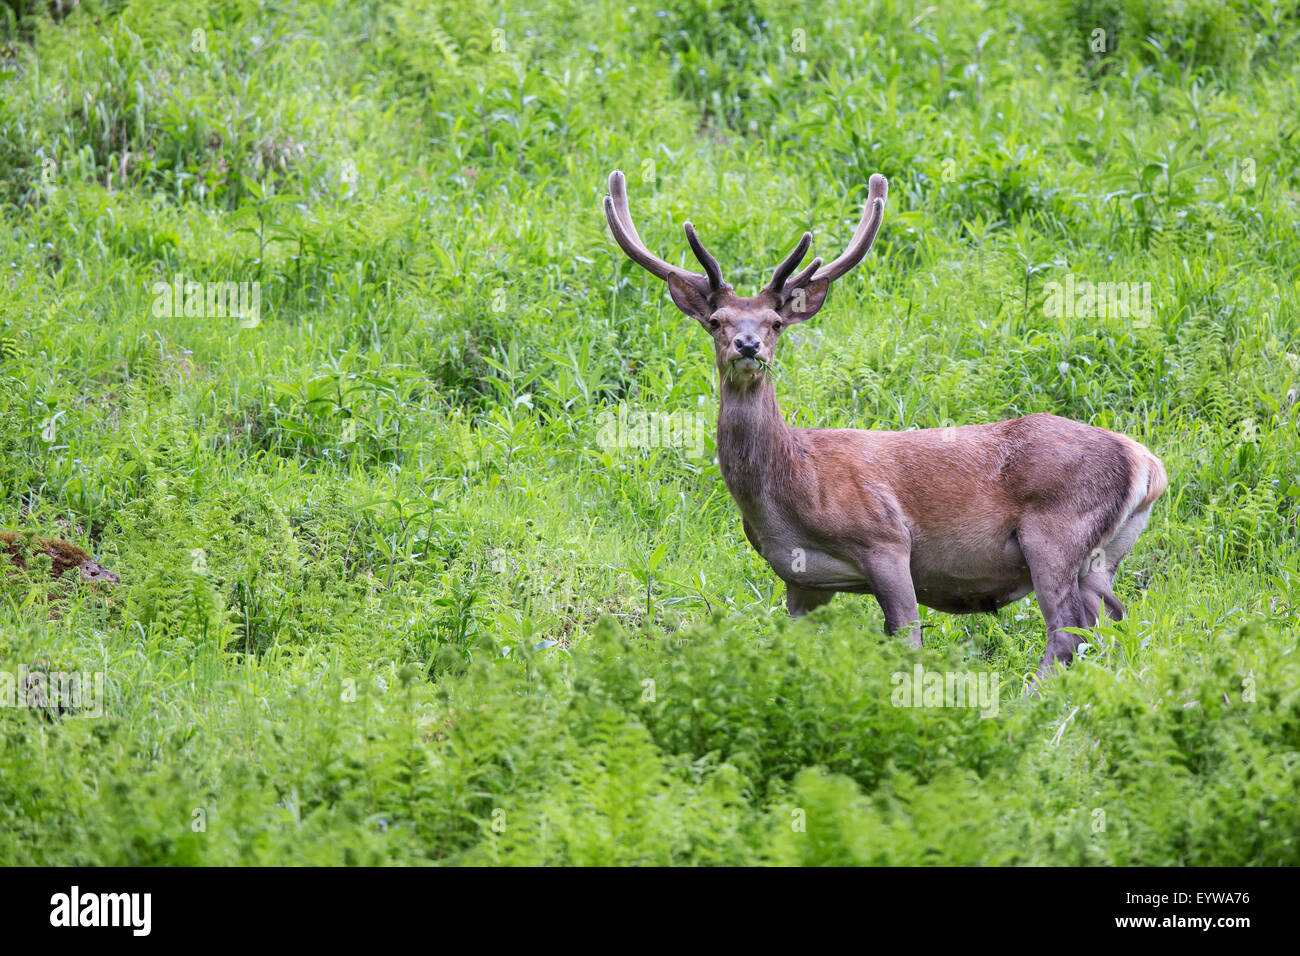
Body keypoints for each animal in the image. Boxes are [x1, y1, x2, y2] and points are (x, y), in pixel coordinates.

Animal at [600, 167, 1170, 686]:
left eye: (775, 323)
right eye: (716, 322)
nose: (747, 345)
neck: (791, 488)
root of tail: (1148, 465)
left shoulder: (886, 540)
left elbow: (907, 636)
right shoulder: (800, 580)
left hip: (1056, 531)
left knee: (1067, 629)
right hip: (1104, 555)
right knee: (1109, 621)